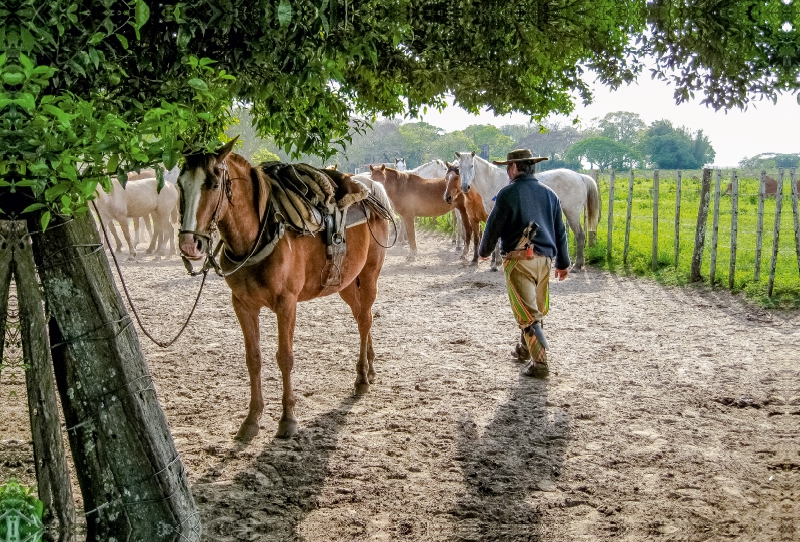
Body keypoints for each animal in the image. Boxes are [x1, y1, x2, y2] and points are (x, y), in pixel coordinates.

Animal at [180, 142, 394, 440]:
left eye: (213, 184)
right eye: (180, 184)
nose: (190, 244)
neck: (259, 234)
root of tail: (369, 190)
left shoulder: (286, 304)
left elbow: (285, 358)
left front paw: (288, 418)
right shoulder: (242, 304)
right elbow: (253, 358)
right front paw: (251, 420)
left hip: (370, 274)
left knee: (364, 321)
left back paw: (362, 378)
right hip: (347, 283)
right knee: (365, 316)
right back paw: (371, 368)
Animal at [456, 152, 600, 270]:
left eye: (472, 166)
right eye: (459, 168)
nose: (465, 187)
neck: (493, 182)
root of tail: (580, 176)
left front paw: (496, 264)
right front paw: (496, 263)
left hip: (572, 213)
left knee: (580, 235)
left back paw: (577, 266)